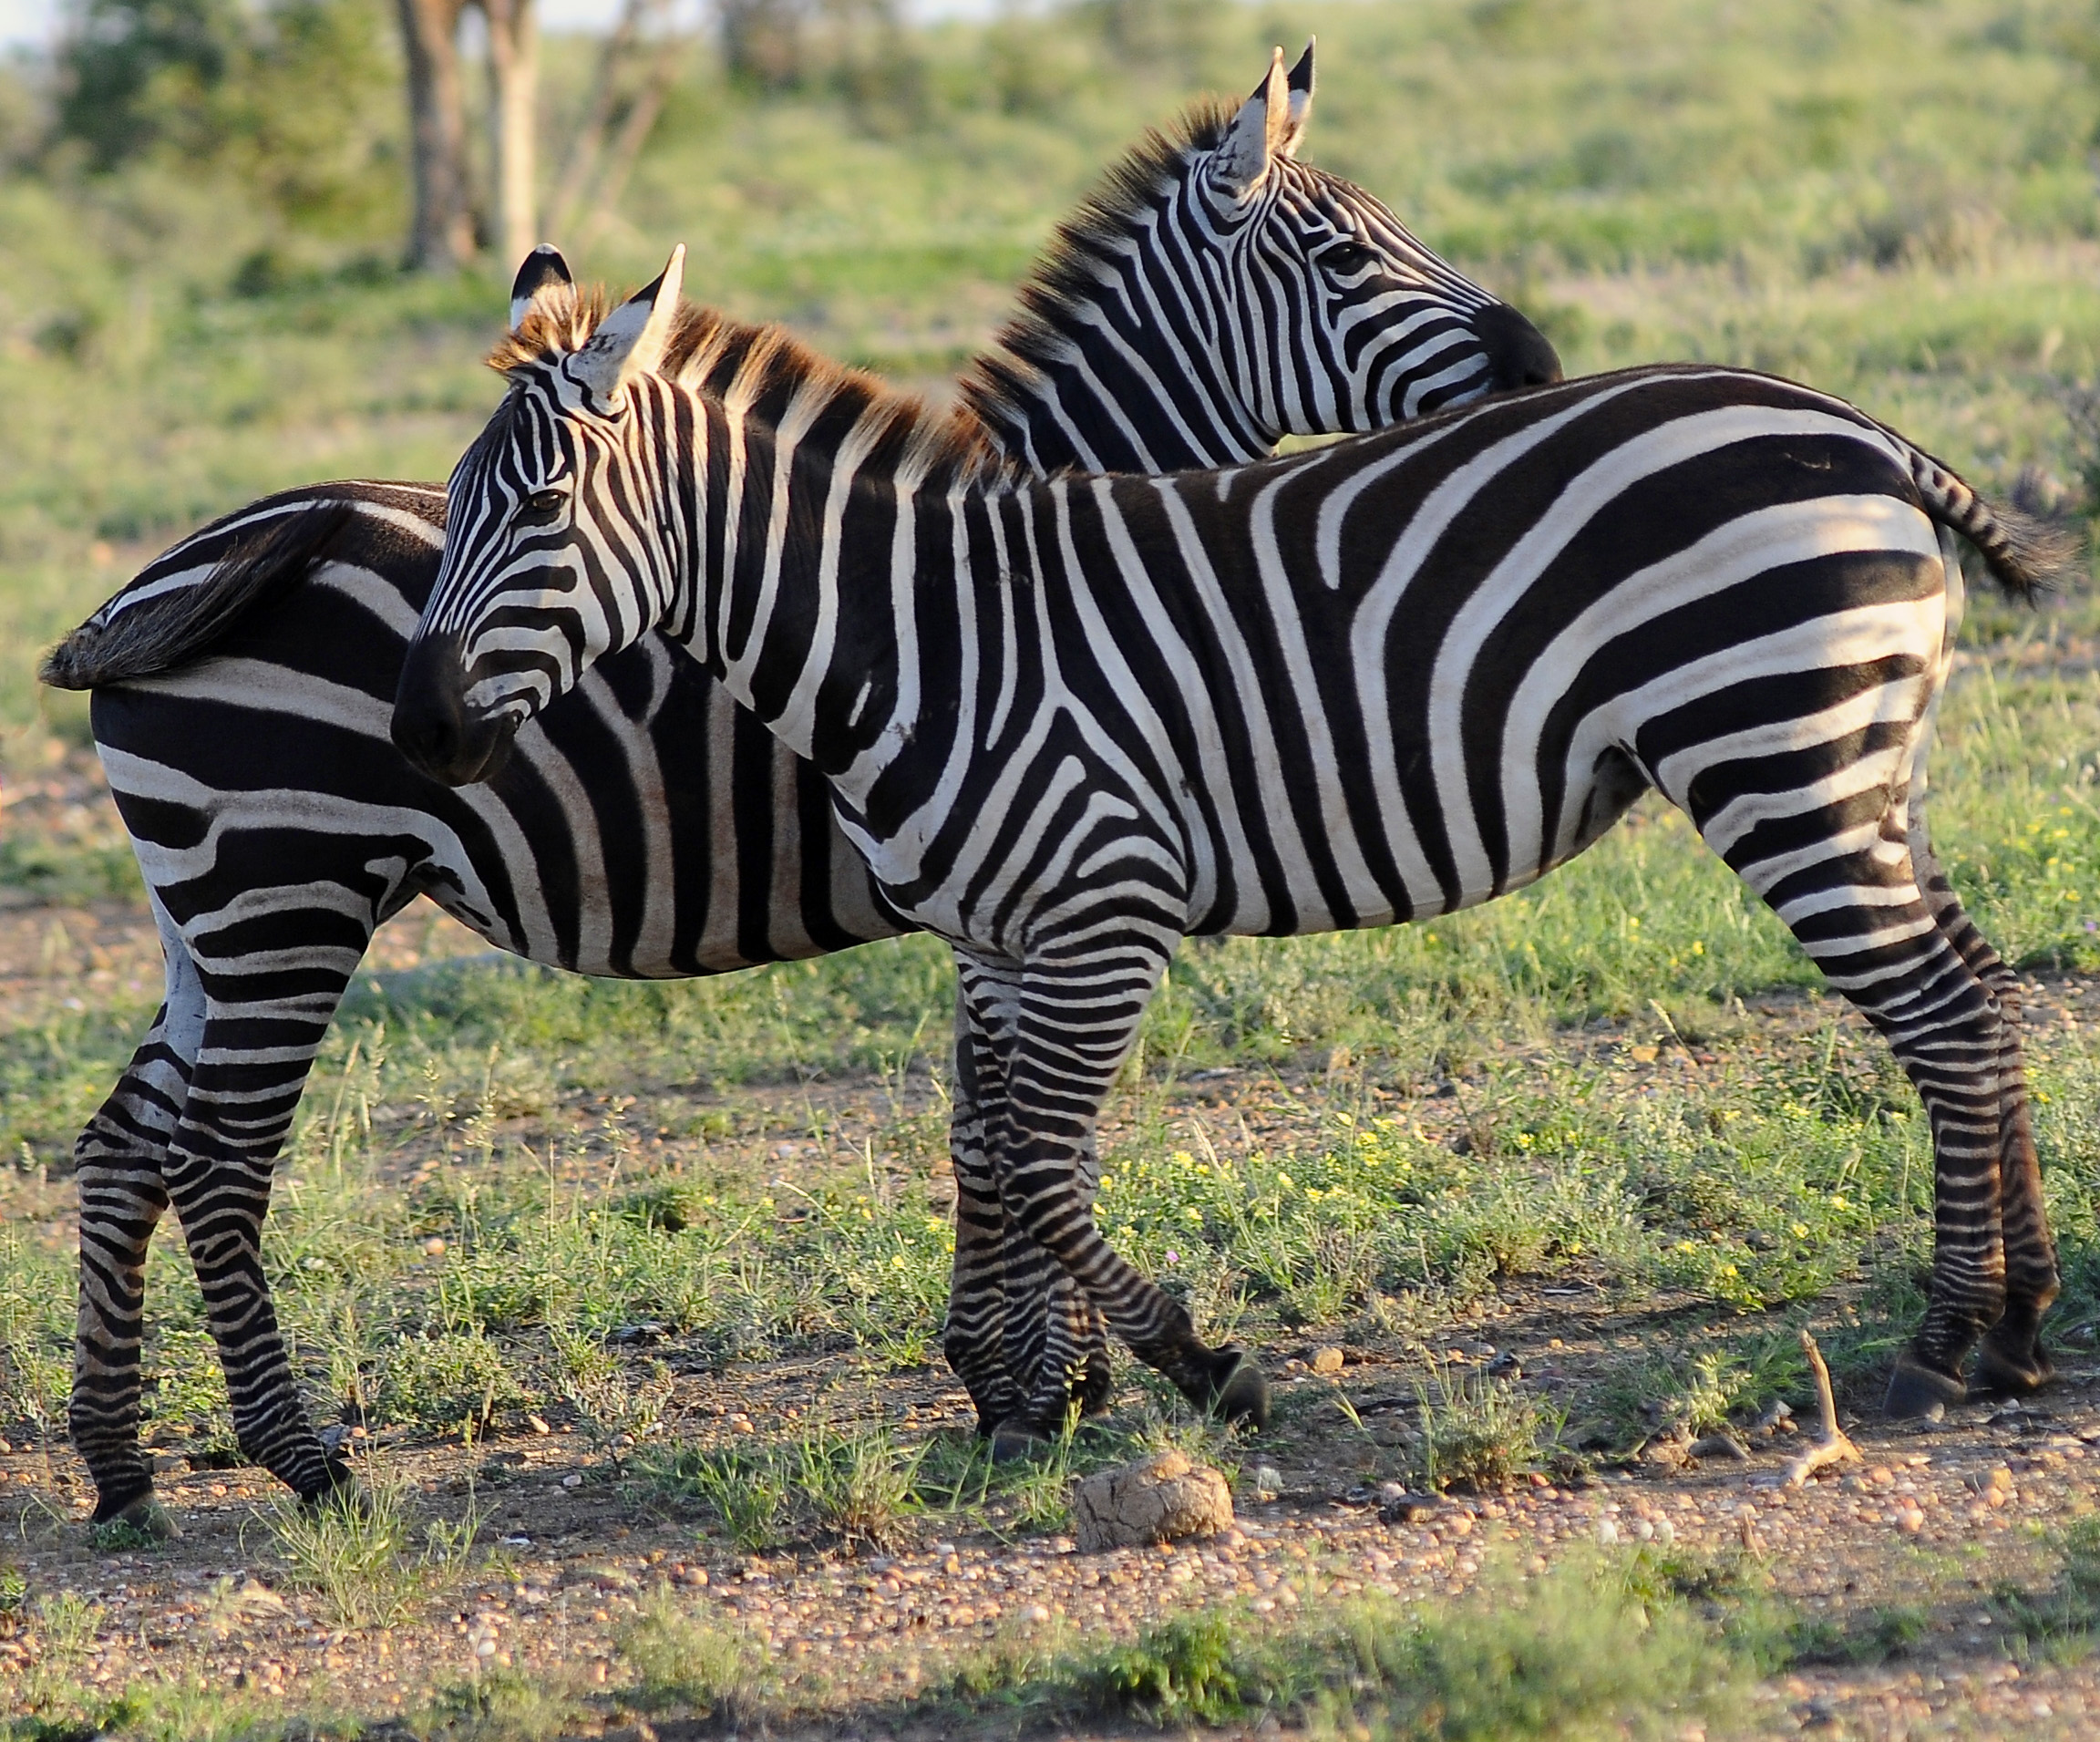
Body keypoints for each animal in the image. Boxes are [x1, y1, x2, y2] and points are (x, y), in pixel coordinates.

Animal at [44, 45, 1561, 1528]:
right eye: (1348, 257)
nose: (1542, 357)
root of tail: (163, 572)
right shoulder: (1022, 870)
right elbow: (1002, 1131)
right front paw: (1043, 1383)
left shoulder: (1011, 885)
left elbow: (991, 1124)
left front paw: (1034, 1380)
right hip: (289, 892)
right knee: (219, 1161)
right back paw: (303, 1461)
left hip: (209, 910)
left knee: (126, 1144)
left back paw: (121, 1467)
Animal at [394, 246, 2080, 1450]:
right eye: (451, 507)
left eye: (540, 505)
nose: (417, 731)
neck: (924, 637)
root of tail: (1854, 426)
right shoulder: (1000, 936)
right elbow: (996, 1154)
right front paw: (1033, 1398)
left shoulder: (1103, 907)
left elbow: (1043, 1164)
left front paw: (1199, 1368)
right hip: (1859, 764)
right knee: (1983, 994)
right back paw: (2014, 1327)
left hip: (1774, 755)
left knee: (1939, 1014)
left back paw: (1945, 1343)